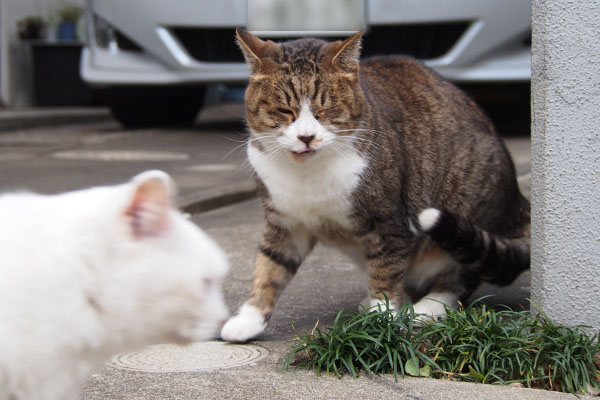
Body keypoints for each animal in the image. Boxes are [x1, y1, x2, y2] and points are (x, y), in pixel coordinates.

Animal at [220, 29, 528, 342]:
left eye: (325, 109)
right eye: (285, 110)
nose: (306, 137)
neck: (308, 175)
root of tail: (520, 206)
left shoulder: (389, 223)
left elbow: (386, 270)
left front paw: (383, 319)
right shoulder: (286, 223)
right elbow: (269, 267)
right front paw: (249, 319)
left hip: (466, 207)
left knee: (460, 278)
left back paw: (427, 307)